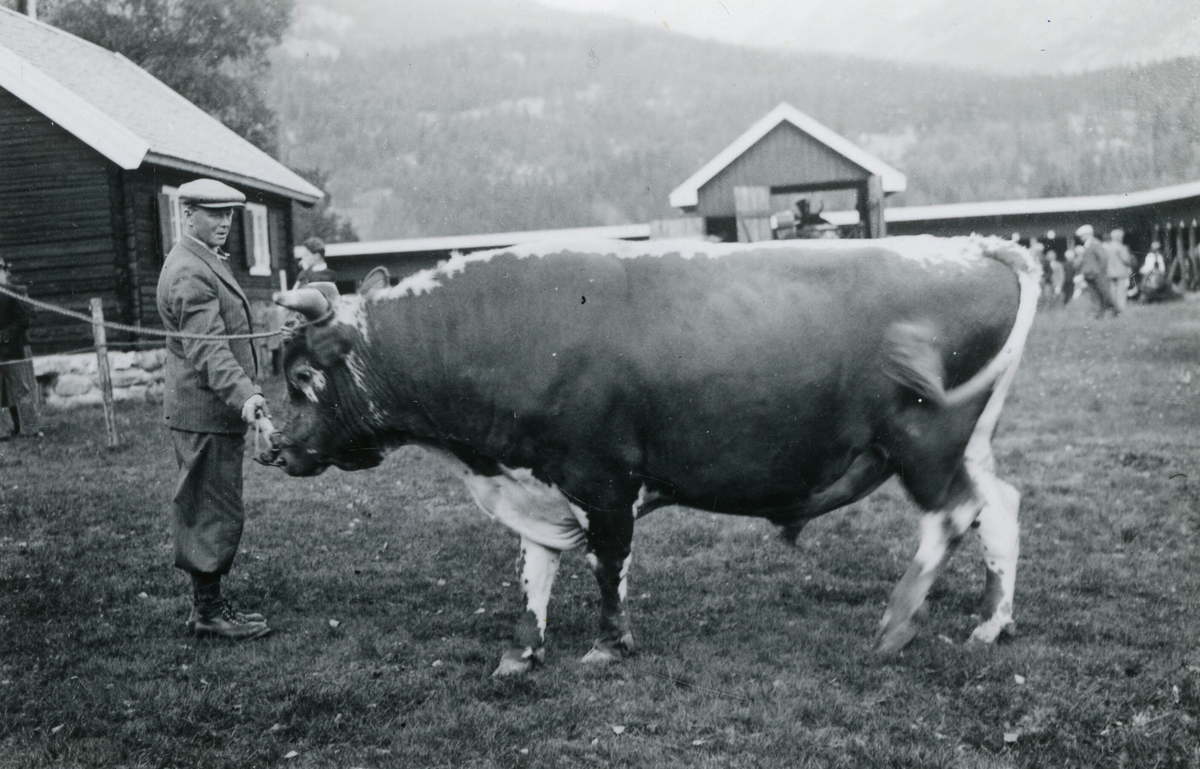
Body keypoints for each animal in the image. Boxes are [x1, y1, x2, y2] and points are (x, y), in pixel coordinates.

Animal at [260, 233, 1041, 671]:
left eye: (300, 377)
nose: (272, 446)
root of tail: (975, 247)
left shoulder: (602, 477)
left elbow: (607, 565)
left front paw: (608, 645)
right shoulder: (534, 479)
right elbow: (534, 568)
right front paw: (523, 649)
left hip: (922, 438)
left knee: (952, 515)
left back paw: (899, 622)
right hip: (965, 442)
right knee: (998, 507)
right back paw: (992, 621)